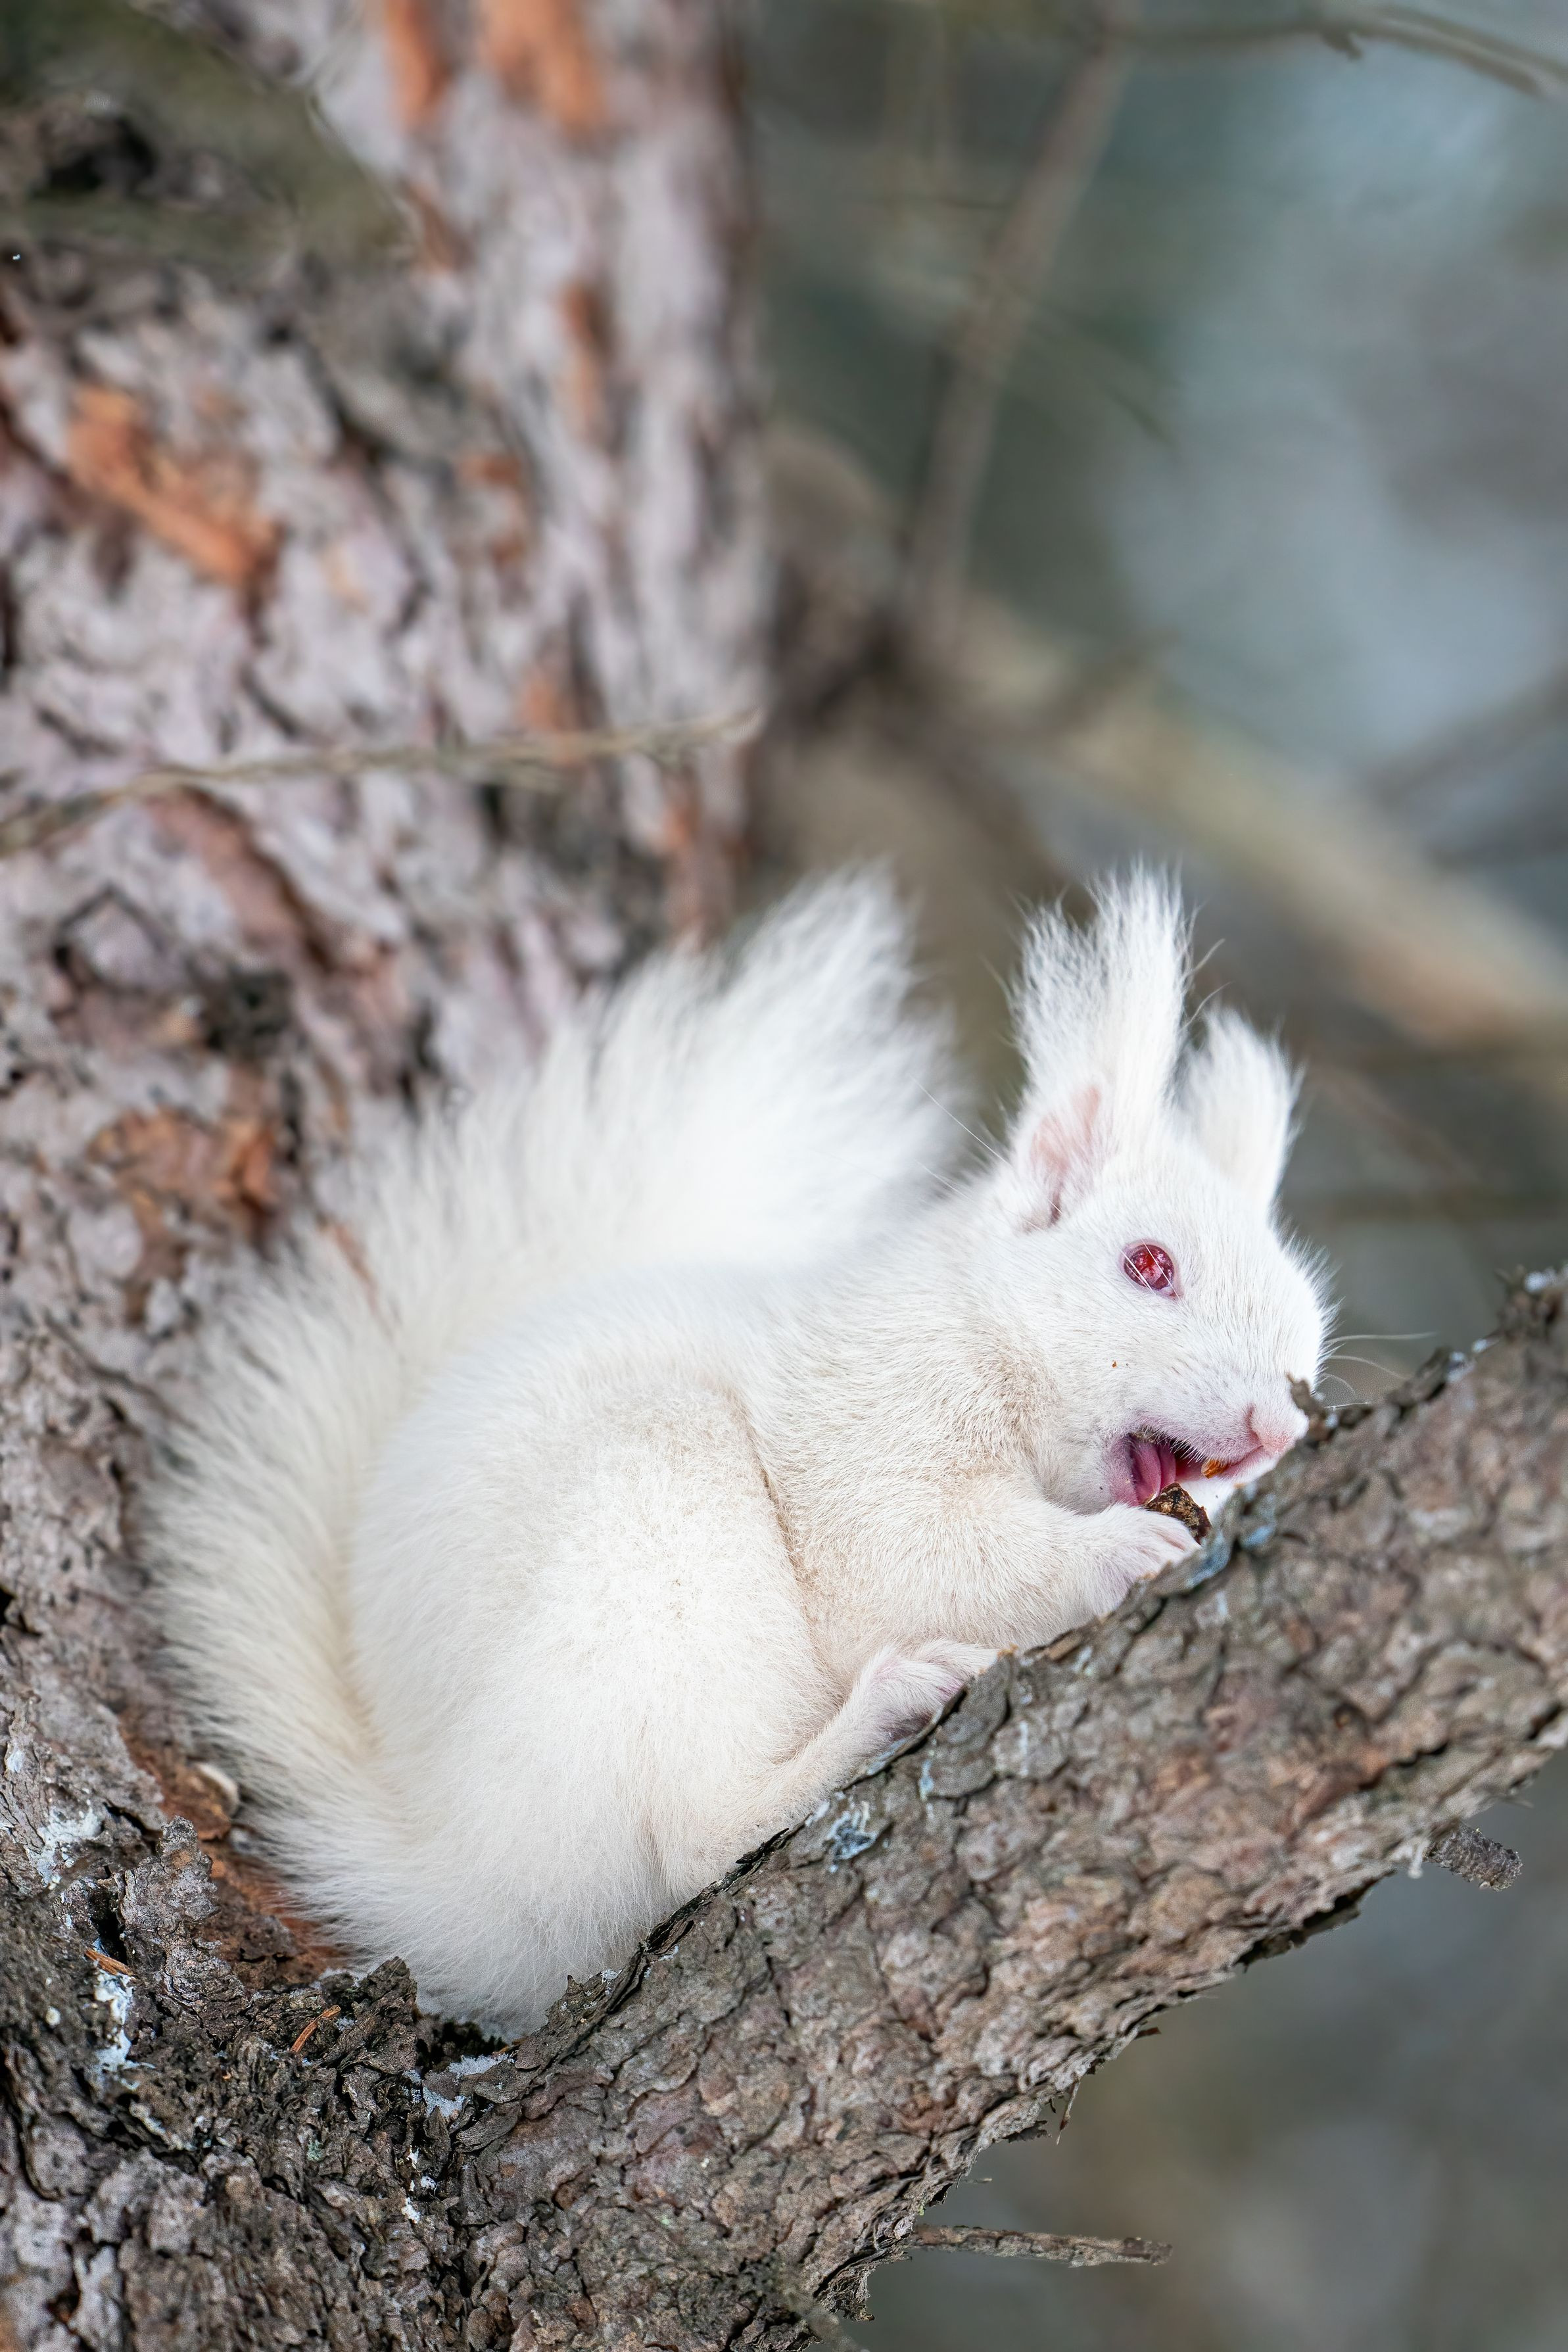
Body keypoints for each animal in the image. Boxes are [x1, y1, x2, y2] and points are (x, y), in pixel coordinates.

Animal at [149, 871, 1328, 2033]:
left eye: (1310, 1329)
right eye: (1148, 1264)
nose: (1277, 1428)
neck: (981, 1329)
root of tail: (453, 1871)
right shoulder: (865, 1422)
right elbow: (912, 1562)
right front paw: (1122, 1551)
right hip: (653, 1525)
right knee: (687, 1833)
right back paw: (878, 1715)